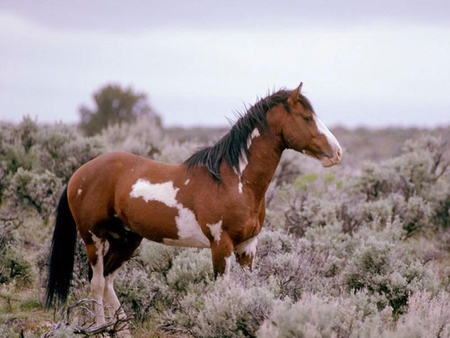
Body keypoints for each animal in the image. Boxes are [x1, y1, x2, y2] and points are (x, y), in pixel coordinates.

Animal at [45, 82, 342, 332]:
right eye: (306, 118)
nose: (337, 152)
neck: (234, 180)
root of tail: (79, 173)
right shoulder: (221, 246)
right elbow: (222, 294)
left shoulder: (248, 247)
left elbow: (246, 291)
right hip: (93, 237)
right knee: (96, 283)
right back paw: (101, 328)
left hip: (126, 240)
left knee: (107, 280)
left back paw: (122, 329)